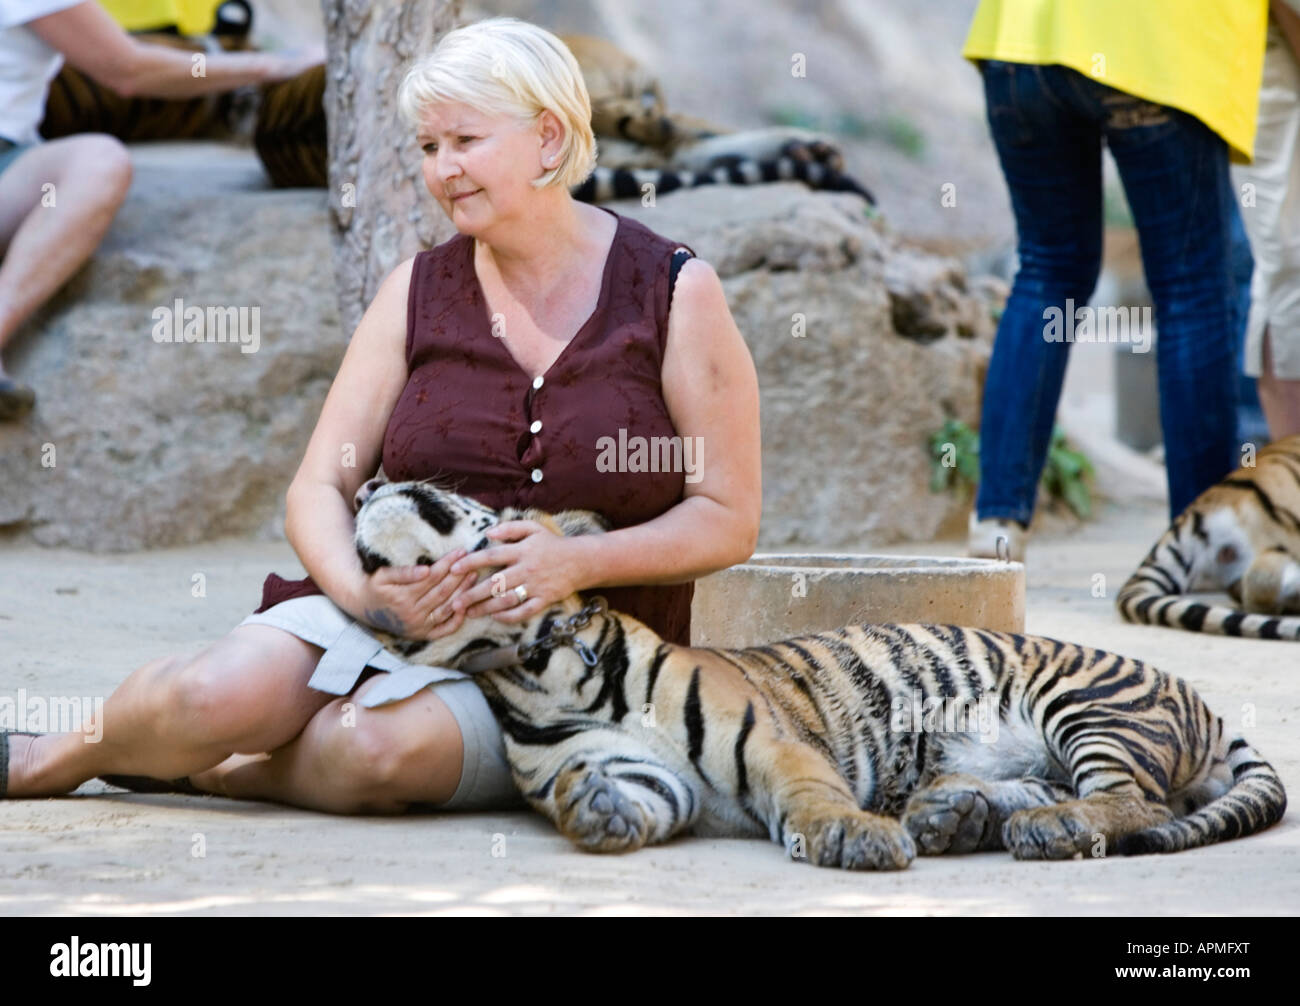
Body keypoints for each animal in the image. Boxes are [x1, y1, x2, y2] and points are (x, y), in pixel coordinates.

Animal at [351, 478, 1284, 868]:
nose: (363, 480)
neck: (537, 666)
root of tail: (1196, 699)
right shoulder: (656, 779)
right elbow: (623, 796)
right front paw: (595, 810)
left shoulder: (770, 741)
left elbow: (811, 795)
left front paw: (856, 838)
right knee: (1067, 793)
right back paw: (957, 815)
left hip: (1087, 706)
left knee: (1139, 803)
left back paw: (1030, 829)